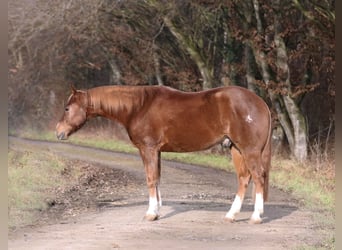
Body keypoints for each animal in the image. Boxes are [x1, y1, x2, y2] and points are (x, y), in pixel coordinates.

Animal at [55, 85, 272, 224]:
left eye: (67, 108)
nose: (58, 132)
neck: (139, 107)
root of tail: (261, 103)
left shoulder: (148, 149)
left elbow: (151, 179)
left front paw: (151, 213)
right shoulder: (156, 151)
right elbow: (157, 178)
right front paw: (157, 211)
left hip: (249, 150)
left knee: (258, 176)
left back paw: (255, 217)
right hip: (236, 149)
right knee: (244, 179)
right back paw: (231, 215)